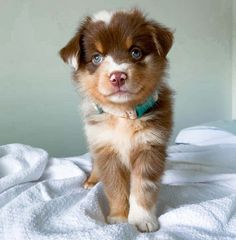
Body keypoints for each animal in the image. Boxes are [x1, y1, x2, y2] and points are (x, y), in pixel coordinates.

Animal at [59, 9, 173, 232]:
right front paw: (119, 218)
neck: (123, 115)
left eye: (135, 52)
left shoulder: (150, 146)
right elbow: (115, 187)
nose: (117, 76)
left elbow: (143, 187)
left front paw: (142, 220)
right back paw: (91, 180)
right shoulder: (106, 149)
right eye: (96, 57)